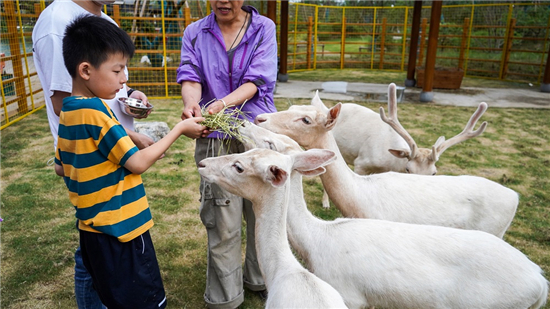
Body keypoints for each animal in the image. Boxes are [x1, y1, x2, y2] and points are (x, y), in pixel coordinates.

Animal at [256, 97, 520, 237]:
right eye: (291, 108)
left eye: (306, 120)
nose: (260, 118)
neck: (360, 202)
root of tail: (514, 196)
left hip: (495, 230)